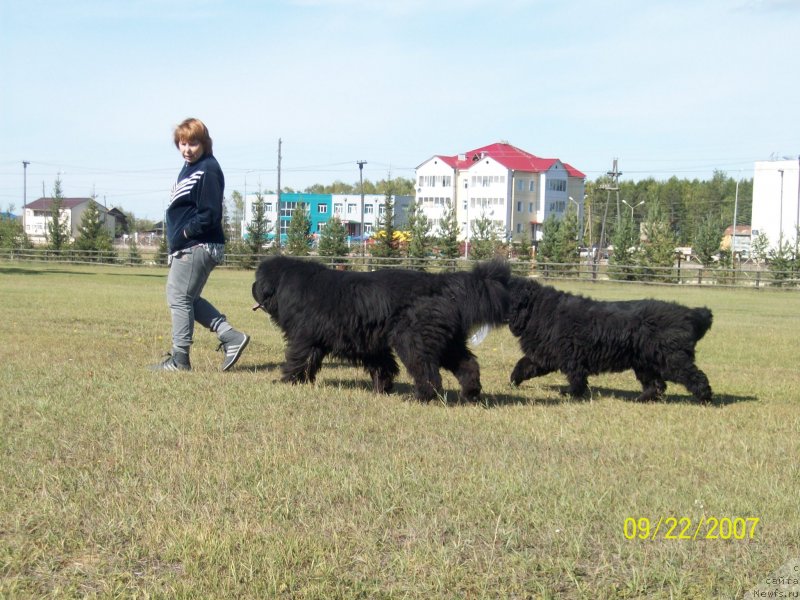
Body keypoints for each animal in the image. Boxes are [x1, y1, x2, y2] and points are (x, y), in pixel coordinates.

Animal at [253, 255, 510, 400]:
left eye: (257, 279)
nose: (253, 286)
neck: (286, 284)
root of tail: (442, 283)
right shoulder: (368, 343)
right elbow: (382, 366)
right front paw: (382, 388)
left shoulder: (304, 338)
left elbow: (298, 360)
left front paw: (287, 381)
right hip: (449, 342)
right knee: (468, 364)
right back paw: (471, 393)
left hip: (413, 340)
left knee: (427, 371)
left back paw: (421, 397)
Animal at [506, 278, 712, 404]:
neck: (538, 309)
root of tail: (690, 314)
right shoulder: (545, 354)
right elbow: (523, 365)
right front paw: (513, 381)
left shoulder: (570, 357)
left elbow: (576, 377)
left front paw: (571, 393)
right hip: (645, 363)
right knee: (656, 385)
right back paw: (640, 399)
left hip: (671, 360)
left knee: (695, 377)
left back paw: (705, 398)